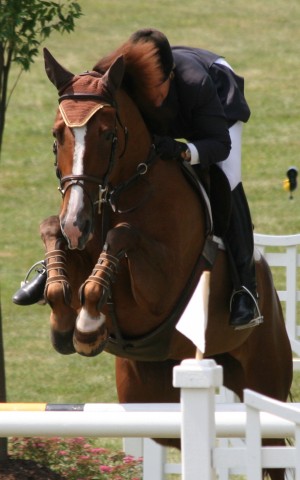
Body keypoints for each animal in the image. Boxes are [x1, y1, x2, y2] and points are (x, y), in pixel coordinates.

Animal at [40, 47, 292, 478]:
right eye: (58, 133)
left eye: (108, 134)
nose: (77, 223)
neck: (122, 191)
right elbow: (53, 235)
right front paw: (64, 324)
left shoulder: (158, 289)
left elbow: (122, 237)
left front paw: (88, 325)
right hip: (148, 396)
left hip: (264, 379)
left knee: (271, 447)